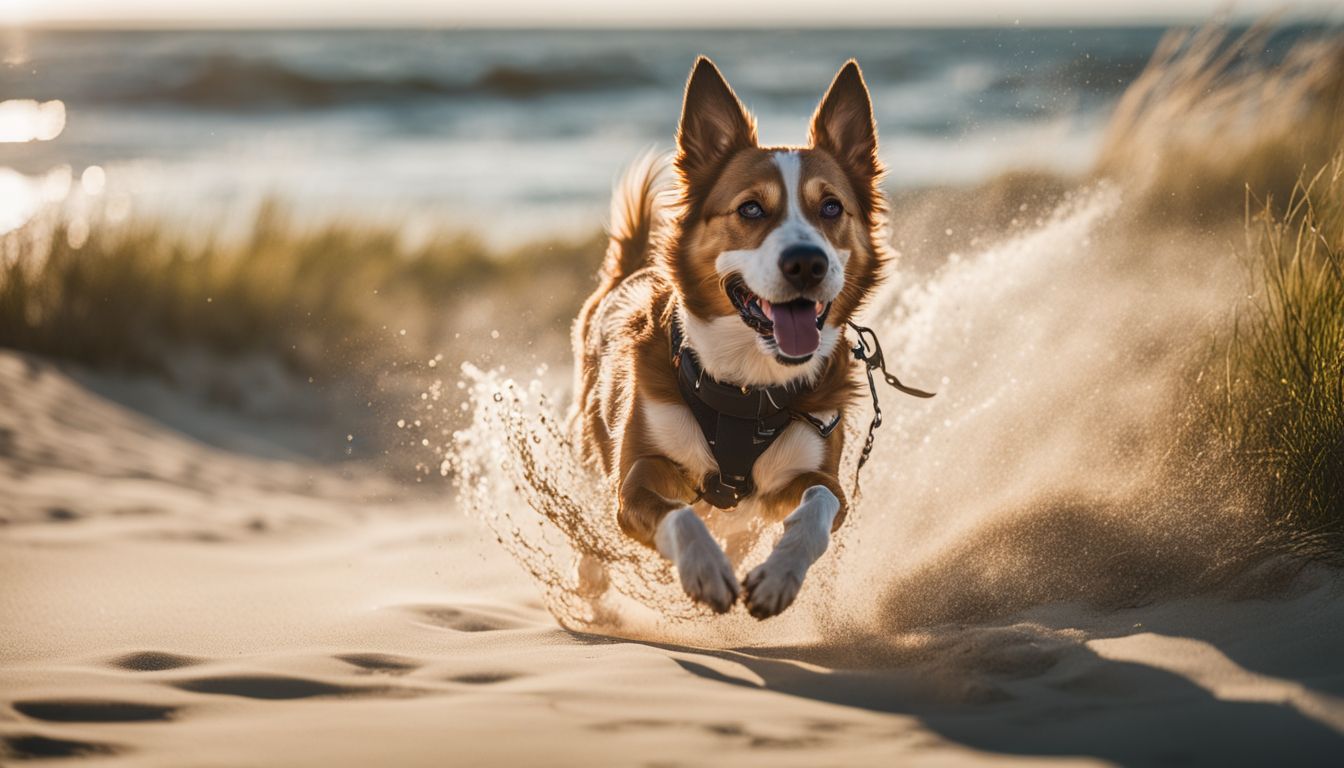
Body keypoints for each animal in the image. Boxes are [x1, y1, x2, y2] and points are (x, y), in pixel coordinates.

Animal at [572, 57, 887, 621]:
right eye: (751, 210)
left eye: (831, 208)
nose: (807, 263)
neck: (746, 385)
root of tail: (626, 273)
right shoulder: (635, 478)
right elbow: (678, 515)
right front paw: (704, 568)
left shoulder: (814, 477)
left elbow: (819, 505)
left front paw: (780, 575)